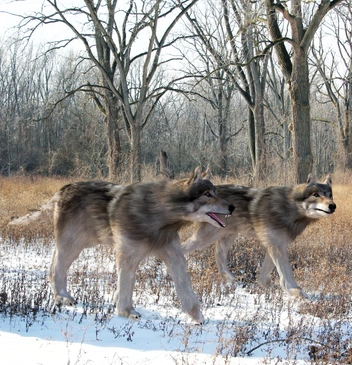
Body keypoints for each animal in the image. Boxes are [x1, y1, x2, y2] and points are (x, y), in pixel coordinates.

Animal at [8, 167, 234, 322]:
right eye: (207, 194)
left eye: (216, 191)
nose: (232, 207)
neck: (159, 214)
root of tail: (62, 189)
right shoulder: (127, 256)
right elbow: (126, 285)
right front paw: (127, 312)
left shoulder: (174, 255)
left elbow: (185, 287)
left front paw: (197, 316)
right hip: (72, 246)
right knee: (57, 269)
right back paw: (62, 298)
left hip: (78, 245)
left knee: (53, 265)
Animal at [183, 174, 336, 298]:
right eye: (316, 194)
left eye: (330, 195)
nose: (333, 206)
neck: (289, 208)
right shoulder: (276, 246)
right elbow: (286, 273)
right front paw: (296, 292)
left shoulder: (276, 244)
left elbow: (266, 275)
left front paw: (268, 287)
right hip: (205, 238)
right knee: (184, 246)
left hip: (228, 236)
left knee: (219, 254)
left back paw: (230, 280)